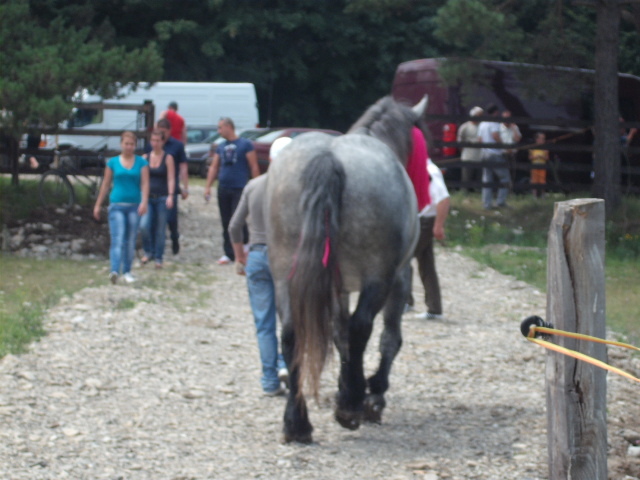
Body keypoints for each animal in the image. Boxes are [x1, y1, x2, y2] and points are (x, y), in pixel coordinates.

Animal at [262, 94, 428, 442]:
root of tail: (328, 158)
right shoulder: (399, 278)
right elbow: (388, 338)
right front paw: (371, 393)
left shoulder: (338, 286)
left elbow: (339, 334)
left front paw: (346, 386)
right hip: (378, 279)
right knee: (361, 327)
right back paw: (351, 406)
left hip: (284, 275)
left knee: (291, 335)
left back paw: (297, 423)